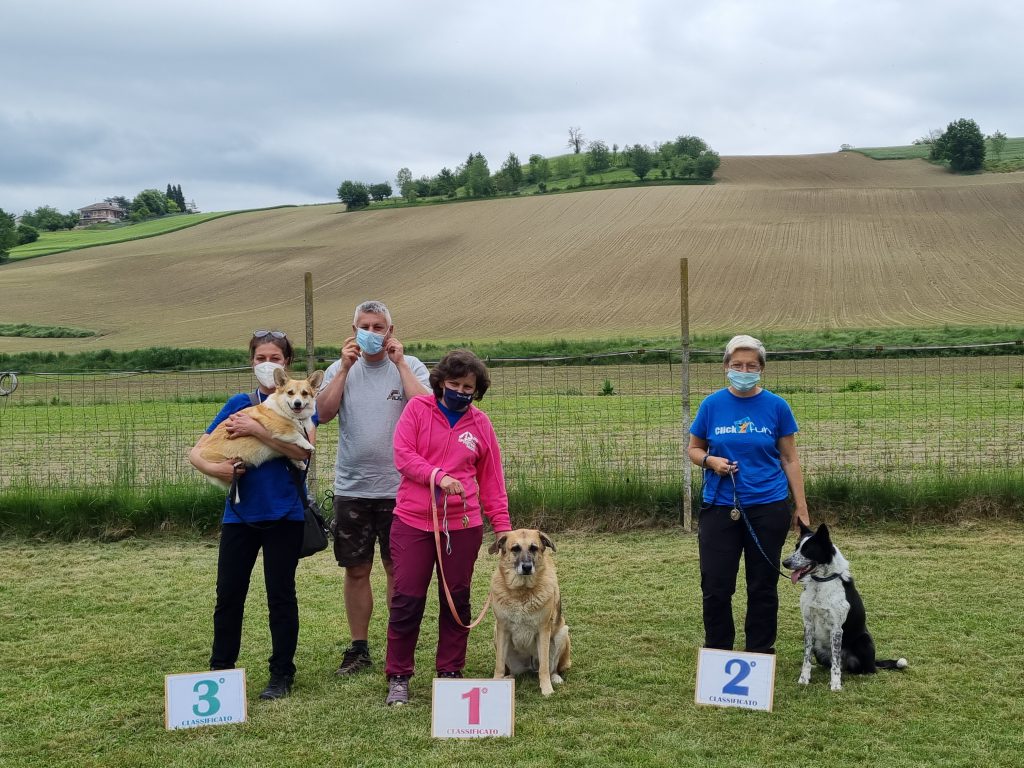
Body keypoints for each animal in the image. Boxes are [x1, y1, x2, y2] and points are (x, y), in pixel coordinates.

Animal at [200, 367, 323, 498]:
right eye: (290, 392)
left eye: (305, 393)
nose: (297, 403)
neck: (293, 416)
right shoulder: (280, 430)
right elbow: (297, 435)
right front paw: (308, 445)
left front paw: (299, 463)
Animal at [488, 529, 571, 696]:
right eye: (515, 549)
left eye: (534, 548)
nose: (527, 567)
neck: (522, 592)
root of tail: (530, 666)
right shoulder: (502, 629)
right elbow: (499, 665)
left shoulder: (543, 630)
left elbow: (544, 667)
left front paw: (546, 689)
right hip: (497, 636)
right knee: (513, 672)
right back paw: (508, 678)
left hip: (562, 633)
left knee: (551, 668)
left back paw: (555, 678)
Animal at [783, 522, 907, 691]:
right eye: (796, 547)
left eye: (807, 549)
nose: (785, 563)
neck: (821, 582)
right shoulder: (808, 625)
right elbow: (806, 658)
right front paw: (804, 679)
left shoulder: (836, 629)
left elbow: (835, 663)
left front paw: (835, 685)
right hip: (818, 647)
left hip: (863, 640)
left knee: (865, 668)